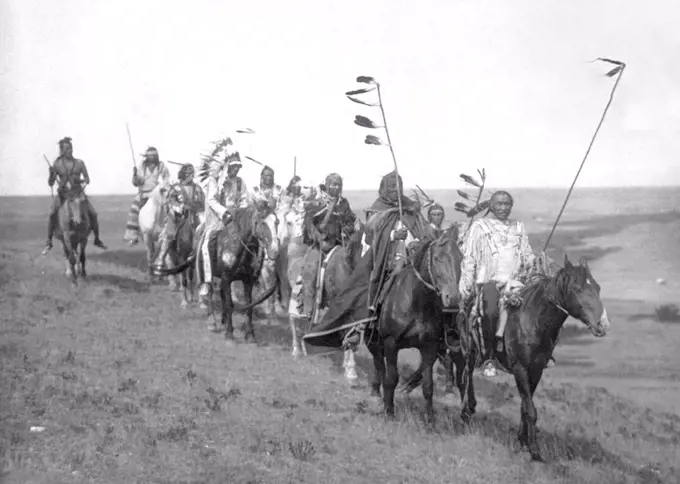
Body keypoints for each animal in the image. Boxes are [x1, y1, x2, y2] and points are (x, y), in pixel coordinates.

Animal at [161, 204, 280, 344]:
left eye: (277, 222)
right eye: (262, 222)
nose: (275, 250)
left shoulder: (247, 280)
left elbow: (248, 306)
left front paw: (250, 335)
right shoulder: (226, 277)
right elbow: (229, 304)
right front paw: (229, 334)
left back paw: (222, 320)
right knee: (207, 292)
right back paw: (212, 322)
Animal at [370, 227, 464, 424]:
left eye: (460, 257)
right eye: (436, 258)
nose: (452, 298)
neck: (416, 303)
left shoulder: (429, 347)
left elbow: (428, 386)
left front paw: (430, 419)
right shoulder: (391, 344)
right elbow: (391, 378)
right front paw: (390, 412)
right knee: (378, 363)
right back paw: (376, 395)